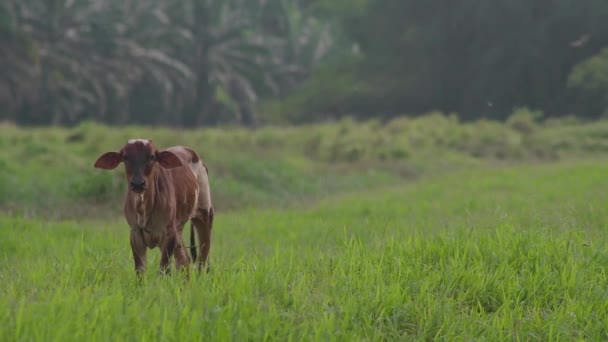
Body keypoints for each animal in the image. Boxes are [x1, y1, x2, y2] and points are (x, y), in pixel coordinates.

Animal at [94, 139, 215, 276]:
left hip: (205, 215)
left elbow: (164, 270)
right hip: (179, 228)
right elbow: (140, 271)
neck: (144, 209)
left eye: (152, 157)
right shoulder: (135, 234)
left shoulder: (168, 234)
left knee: (203, 260)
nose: (138, 183)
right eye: (125, 157)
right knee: (184, 261)